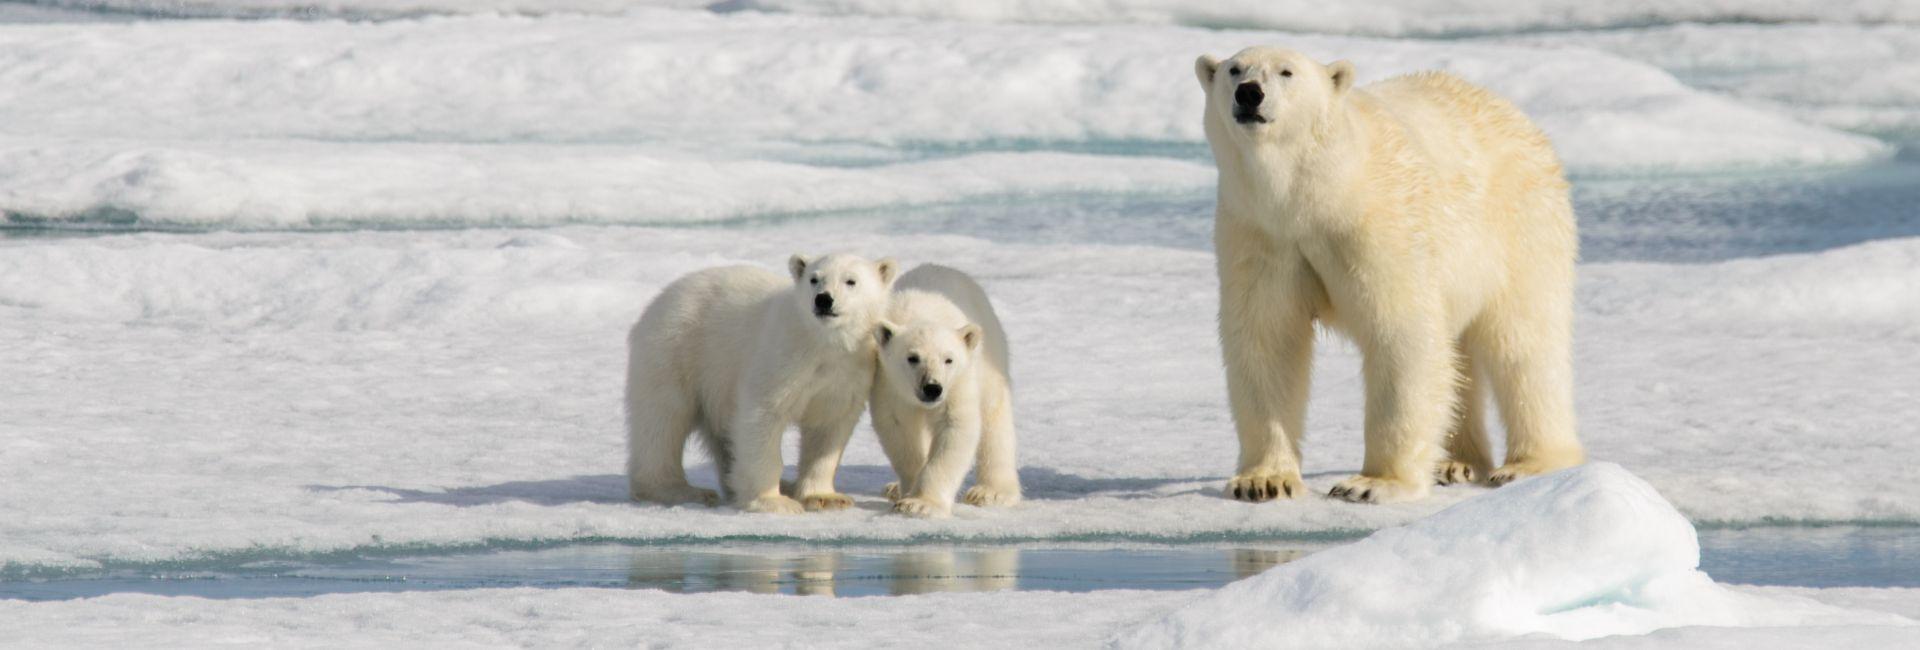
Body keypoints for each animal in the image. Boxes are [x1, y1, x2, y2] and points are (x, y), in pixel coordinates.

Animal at [625, 253, 896, 514]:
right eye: (814, 279)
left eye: (851, 281)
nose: (823, 300)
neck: (822, 344)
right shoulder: (782, 358)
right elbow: (762, 417)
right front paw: (773, 502)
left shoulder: (846, 373)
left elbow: (828, 429)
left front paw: (825, 497)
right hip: (676, 350)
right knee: (662, 420)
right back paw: (680, 490)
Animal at [869, 264, 1021, 518]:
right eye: (912, 358)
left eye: (948, 359)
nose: (932, 388)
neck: (921, 313)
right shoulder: (888, 381)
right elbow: (898, 429)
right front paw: (908, 492)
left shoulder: (959, 382)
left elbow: (955, 428)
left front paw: (920, 503)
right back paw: (892, 488)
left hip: (989, 357)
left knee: (994, 418)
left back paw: (992, 492)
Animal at [1193, 46, 1585, 504]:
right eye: (1234, 69)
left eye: (1287, 72)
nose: (1250, 93)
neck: (1316, 193)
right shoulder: (1261, 236)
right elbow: (1266, 339)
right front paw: (1263, 481)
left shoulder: (1377, 224)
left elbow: (1401, 334)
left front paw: (1371, 484)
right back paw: (1455, 462)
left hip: (1521, 226)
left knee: (1524, 344)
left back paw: (1530, 464)